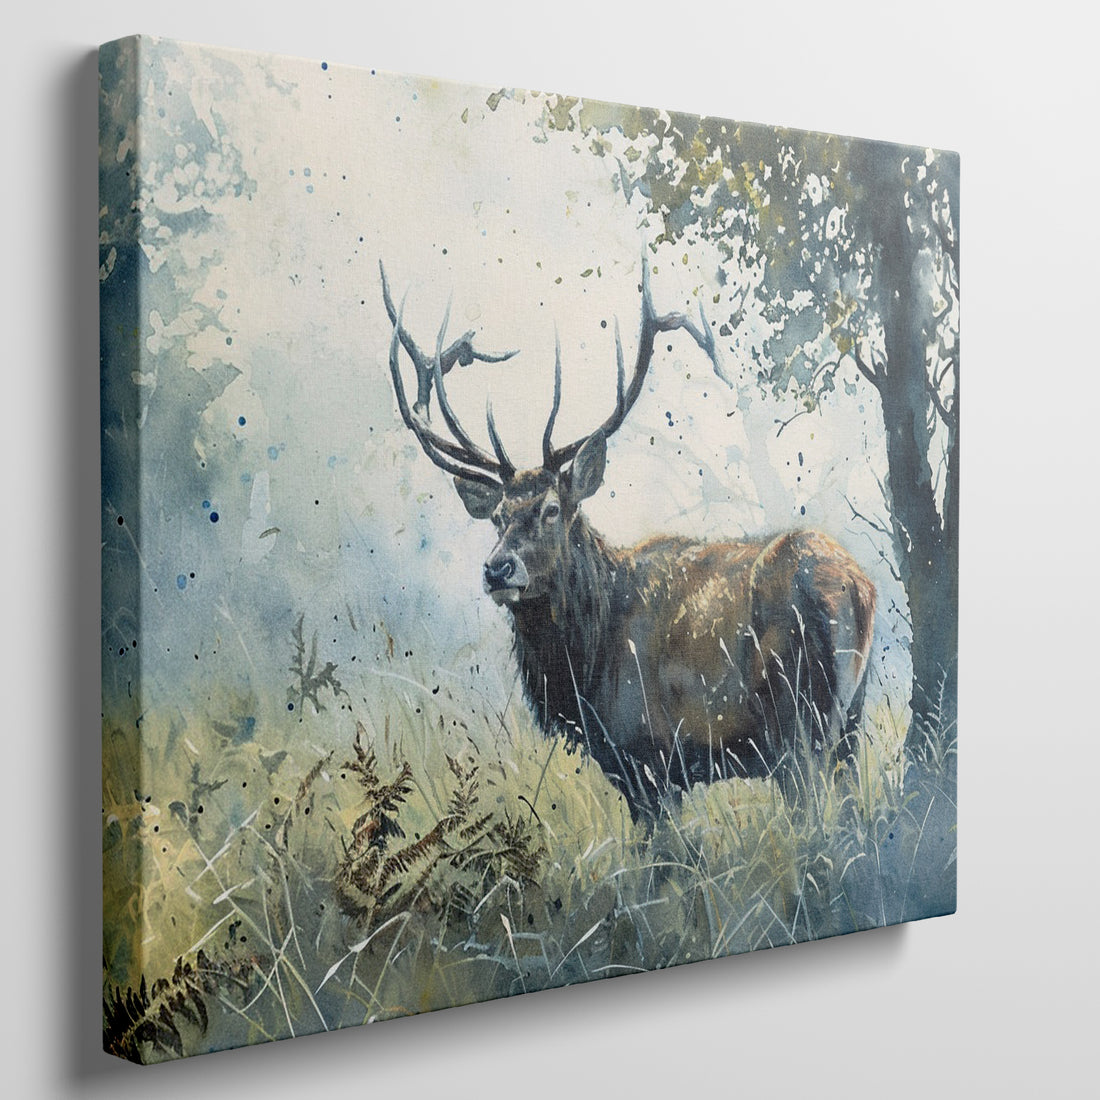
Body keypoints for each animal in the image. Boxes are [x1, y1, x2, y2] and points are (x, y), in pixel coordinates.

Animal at [381, 261, 876, 817]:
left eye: (552, 509)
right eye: (498, 517)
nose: (497, 569)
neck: (588, 666)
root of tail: (856, 587)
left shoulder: (649, 758)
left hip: (798, 727)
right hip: (850, 726)